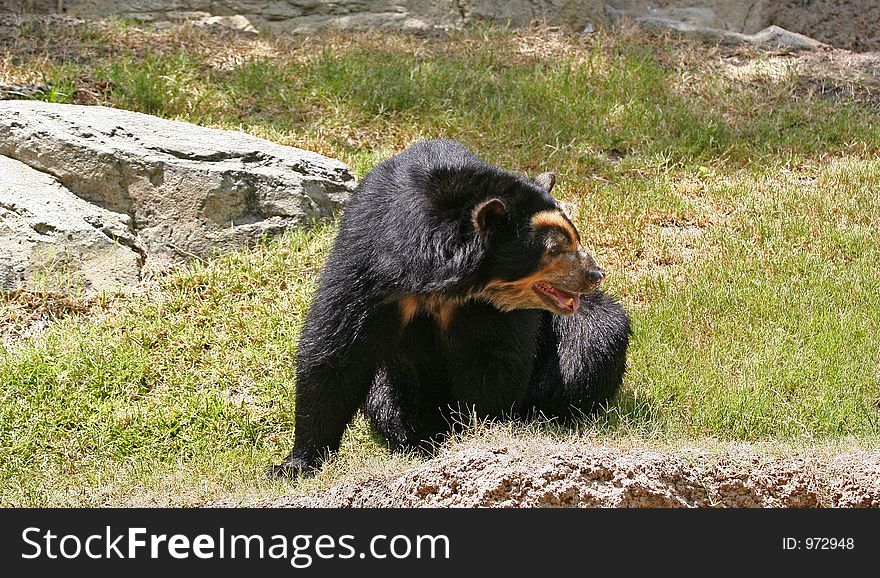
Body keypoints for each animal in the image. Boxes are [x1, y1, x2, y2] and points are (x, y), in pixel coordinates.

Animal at [272, 141, 628, 476]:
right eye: (555, 249)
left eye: (575, 238)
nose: (595, 274)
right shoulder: (367, 267)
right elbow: (337, 353)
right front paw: (296, 464)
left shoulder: (484, 306)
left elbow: (492, 358)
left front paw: (480, 437)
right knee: (384, 397)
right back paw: (414, 439)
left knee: (596, 334)